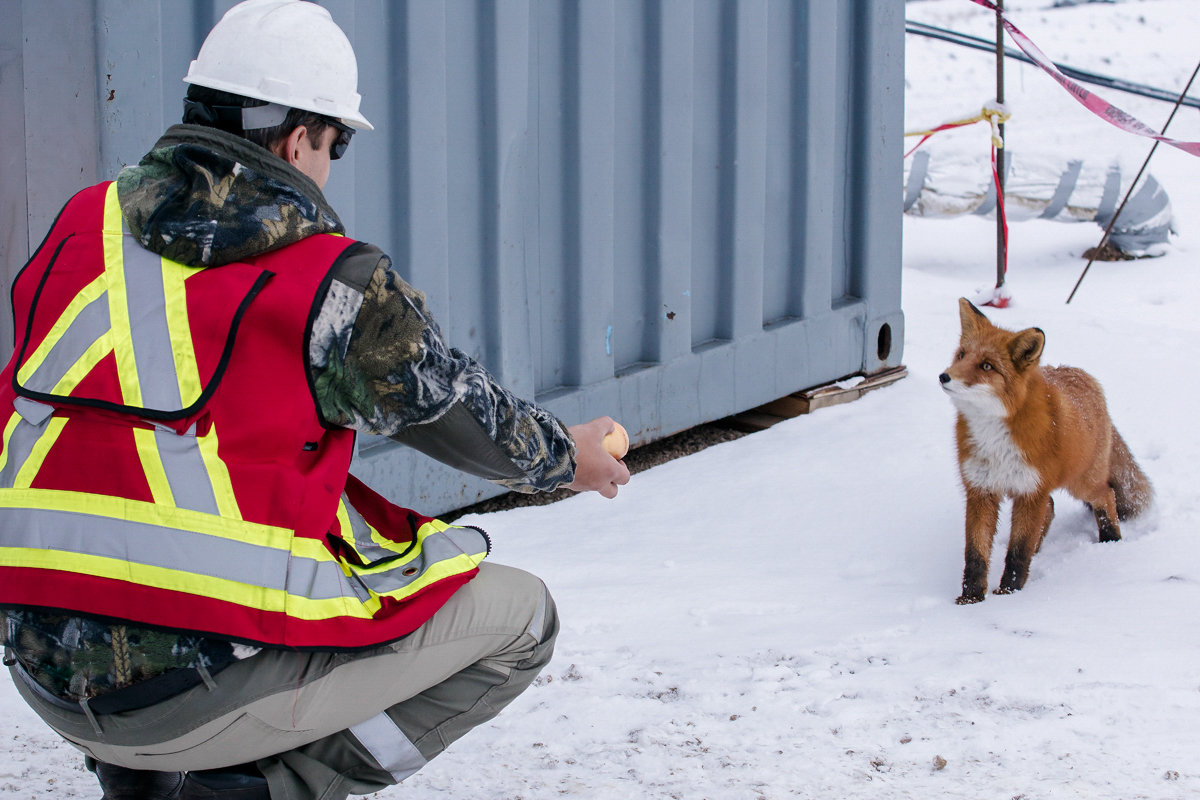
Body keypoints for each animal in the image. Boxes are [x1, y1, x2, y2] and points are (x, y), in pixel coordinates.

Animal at [936, 297, 1152, 604]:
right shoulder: (981, 490)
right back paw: (1040, 549)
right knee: (1050, 509)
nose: (944, 376)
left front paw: (1009, 593)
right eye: (962, 355)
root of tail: (1083, 376)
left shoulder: (1030, 491)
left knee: (1106, 495)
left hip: (1081, 483)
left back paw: (1111, 540)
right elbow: (975, 554)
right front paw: (971, 599)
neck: (996, 436)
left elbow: (1017, 551)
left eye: (987, 366)